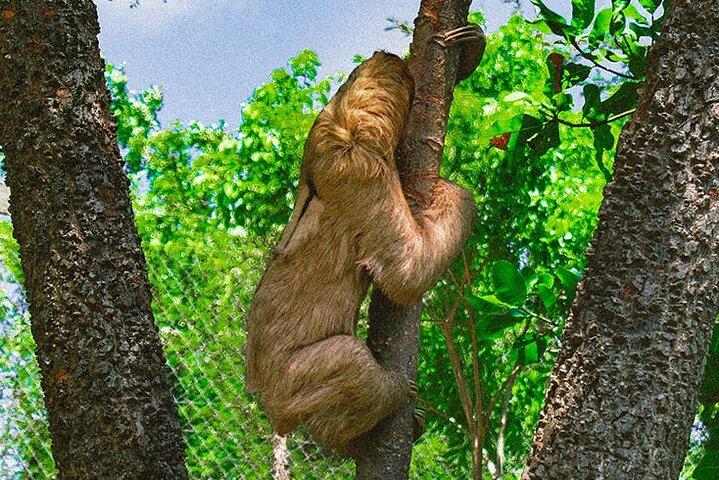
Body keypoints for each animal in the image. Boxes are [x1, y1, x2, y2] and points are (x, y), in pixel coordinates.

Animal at [245, 24, 485, 456]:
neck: (344, 128)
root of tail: (265, 402)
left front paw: (470, 45)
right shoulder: (362, 174)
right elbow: (406, 272)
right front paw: (455, 190)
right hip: (289, 380)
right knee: (351, 359)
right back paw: (386, 406)